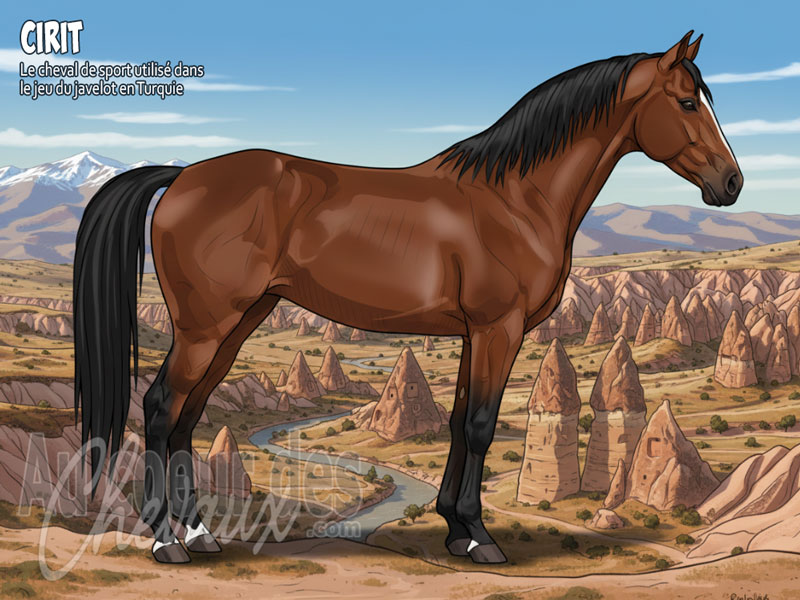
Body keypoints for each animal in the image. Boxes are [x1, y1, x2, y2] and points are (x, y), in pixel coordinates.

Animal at [73, 31, 741, 565]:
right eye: (687, 101)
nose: (730, 183)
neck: (515, 198)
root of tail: (183, 175)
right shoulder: (500, 328)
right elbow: (479, 425)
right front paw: (480, 540)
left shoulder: (477, 333)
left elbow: (458, 421)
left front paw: (456, 528)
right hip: (205, 326)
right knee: (161, 408)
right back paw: (167, 542)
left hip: (236, 325)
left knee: (189, 416)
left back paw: (201, 533)